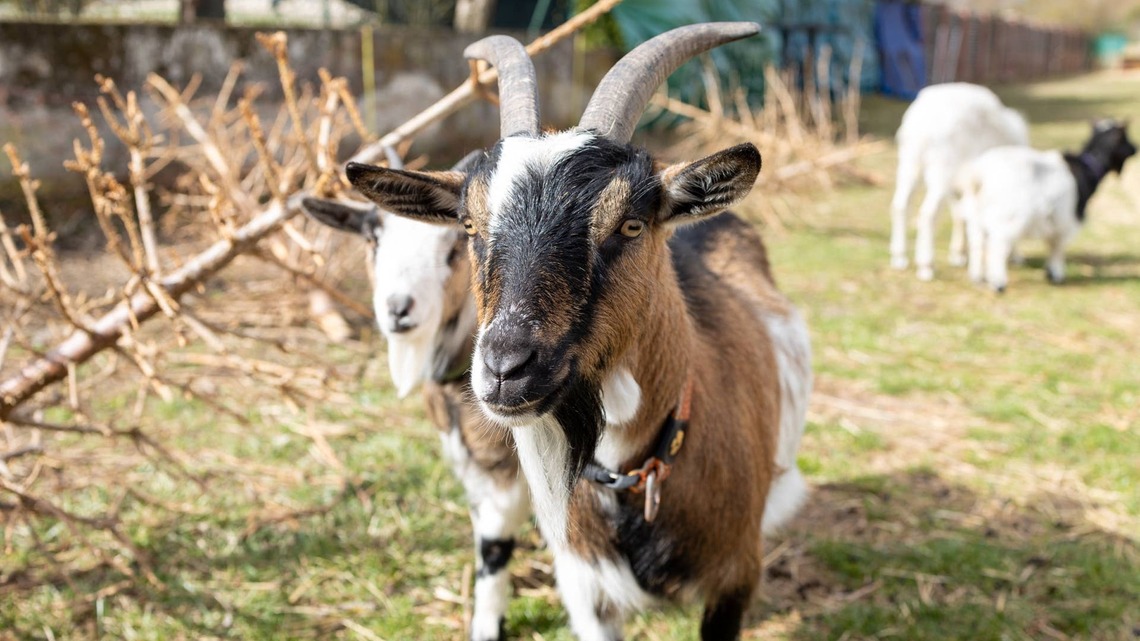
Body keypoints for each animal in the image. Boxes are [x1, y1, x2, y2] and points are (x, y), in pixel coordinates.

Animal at [339, 23, 812, 640]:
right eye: (469, 224)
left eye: (631, 224)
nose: (505, 370)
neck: (635, 471)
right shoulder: (587, 591)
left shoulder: (736, 577)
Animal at [891, 82, 1030, 280]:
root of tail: (921, 125)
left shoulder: (961, 186)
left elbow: (959, 215)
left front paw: (958, 254)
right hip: (941, 170)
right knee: (928, 213)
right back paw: (926, 265)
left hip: (909, 164)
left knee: (901, 205)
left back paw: (899, 257)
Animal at [954, 119, 1136, 292]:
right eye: (1126, 138)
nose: (1136, 148)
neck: (1085, 171)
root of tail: (979, 174)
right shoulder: (1066, 222)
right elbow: (1058, 248)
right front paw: (1056, 275)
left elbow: (1052, 244)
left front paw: (1049, 272)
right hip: (1008, 218)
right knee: (997, 246)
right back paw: (998, 283)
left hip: (976, 216)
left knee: (977, 243)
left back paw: (977, 277)